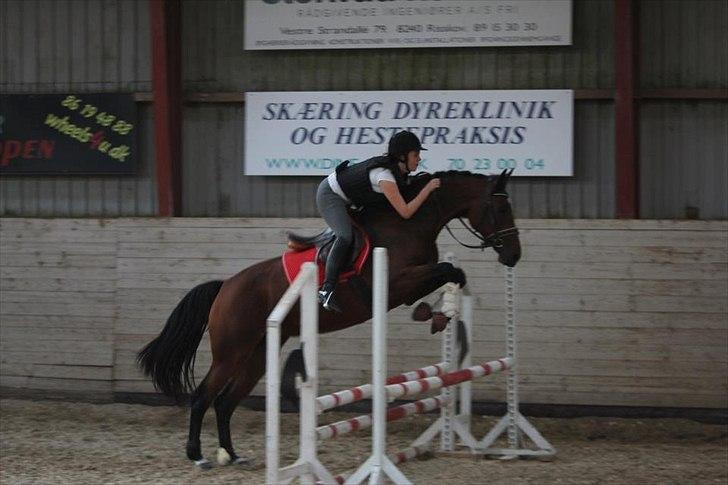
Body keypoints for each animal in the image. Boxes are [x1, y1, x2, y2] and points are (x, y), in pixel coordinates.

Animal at [136, 168, 520, 466]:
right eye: (501, 207)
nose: (514, 256)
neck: (409, 222)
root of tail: (225, 287)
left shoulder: (410, 283)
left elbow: (453, 274)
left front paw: (439, 314)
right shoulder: (396, 283)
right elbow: (446, 270)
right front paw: (435, 312)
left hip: (257, 353)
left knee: (226, 402)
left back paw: (232, 455)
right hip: (231, 352)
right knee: (203, 396)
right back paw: (197, 455)